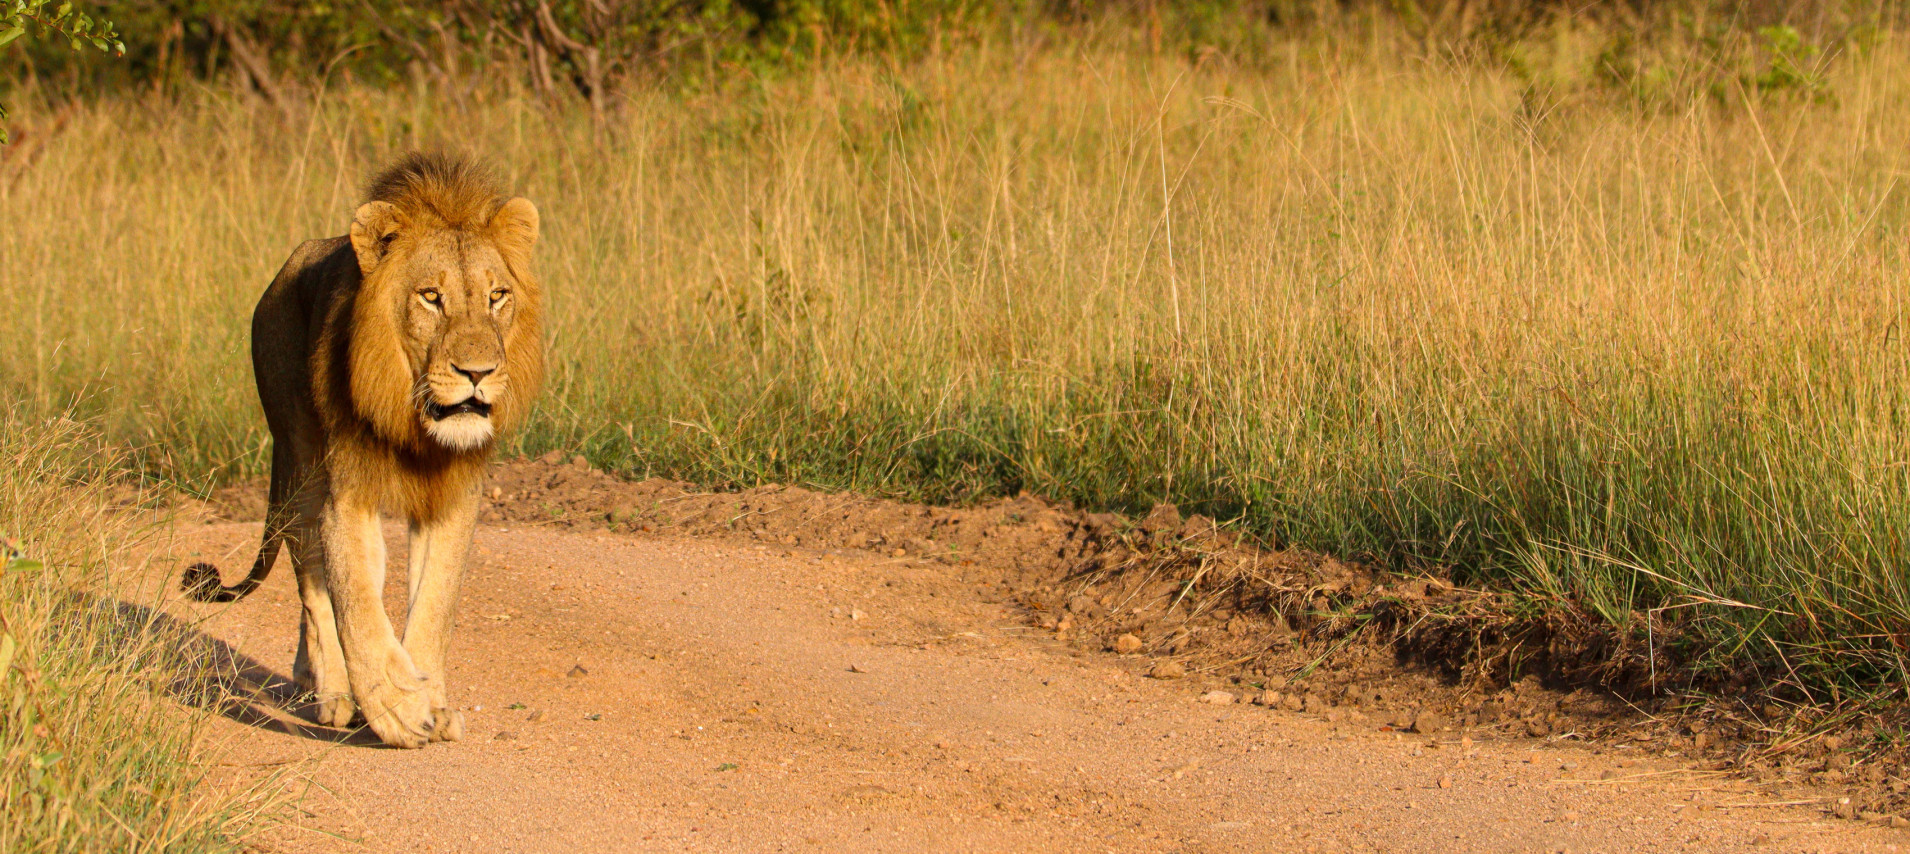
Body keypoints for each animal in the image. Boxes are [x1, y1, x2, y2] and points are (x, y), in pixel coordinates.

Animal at [182, 153, 544, 748]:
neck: (417, 427)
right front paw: (398, 708)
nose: (478, 373)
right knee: (313, 587)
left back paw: (310, 678)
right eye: (430, 296)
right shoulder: (347, 494)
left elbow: (434, 604)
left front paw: (431, 703)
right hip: (300, 464)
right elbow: (355, 602)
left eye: (497, 296)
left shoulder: (453, 499)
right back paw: (332, 692)